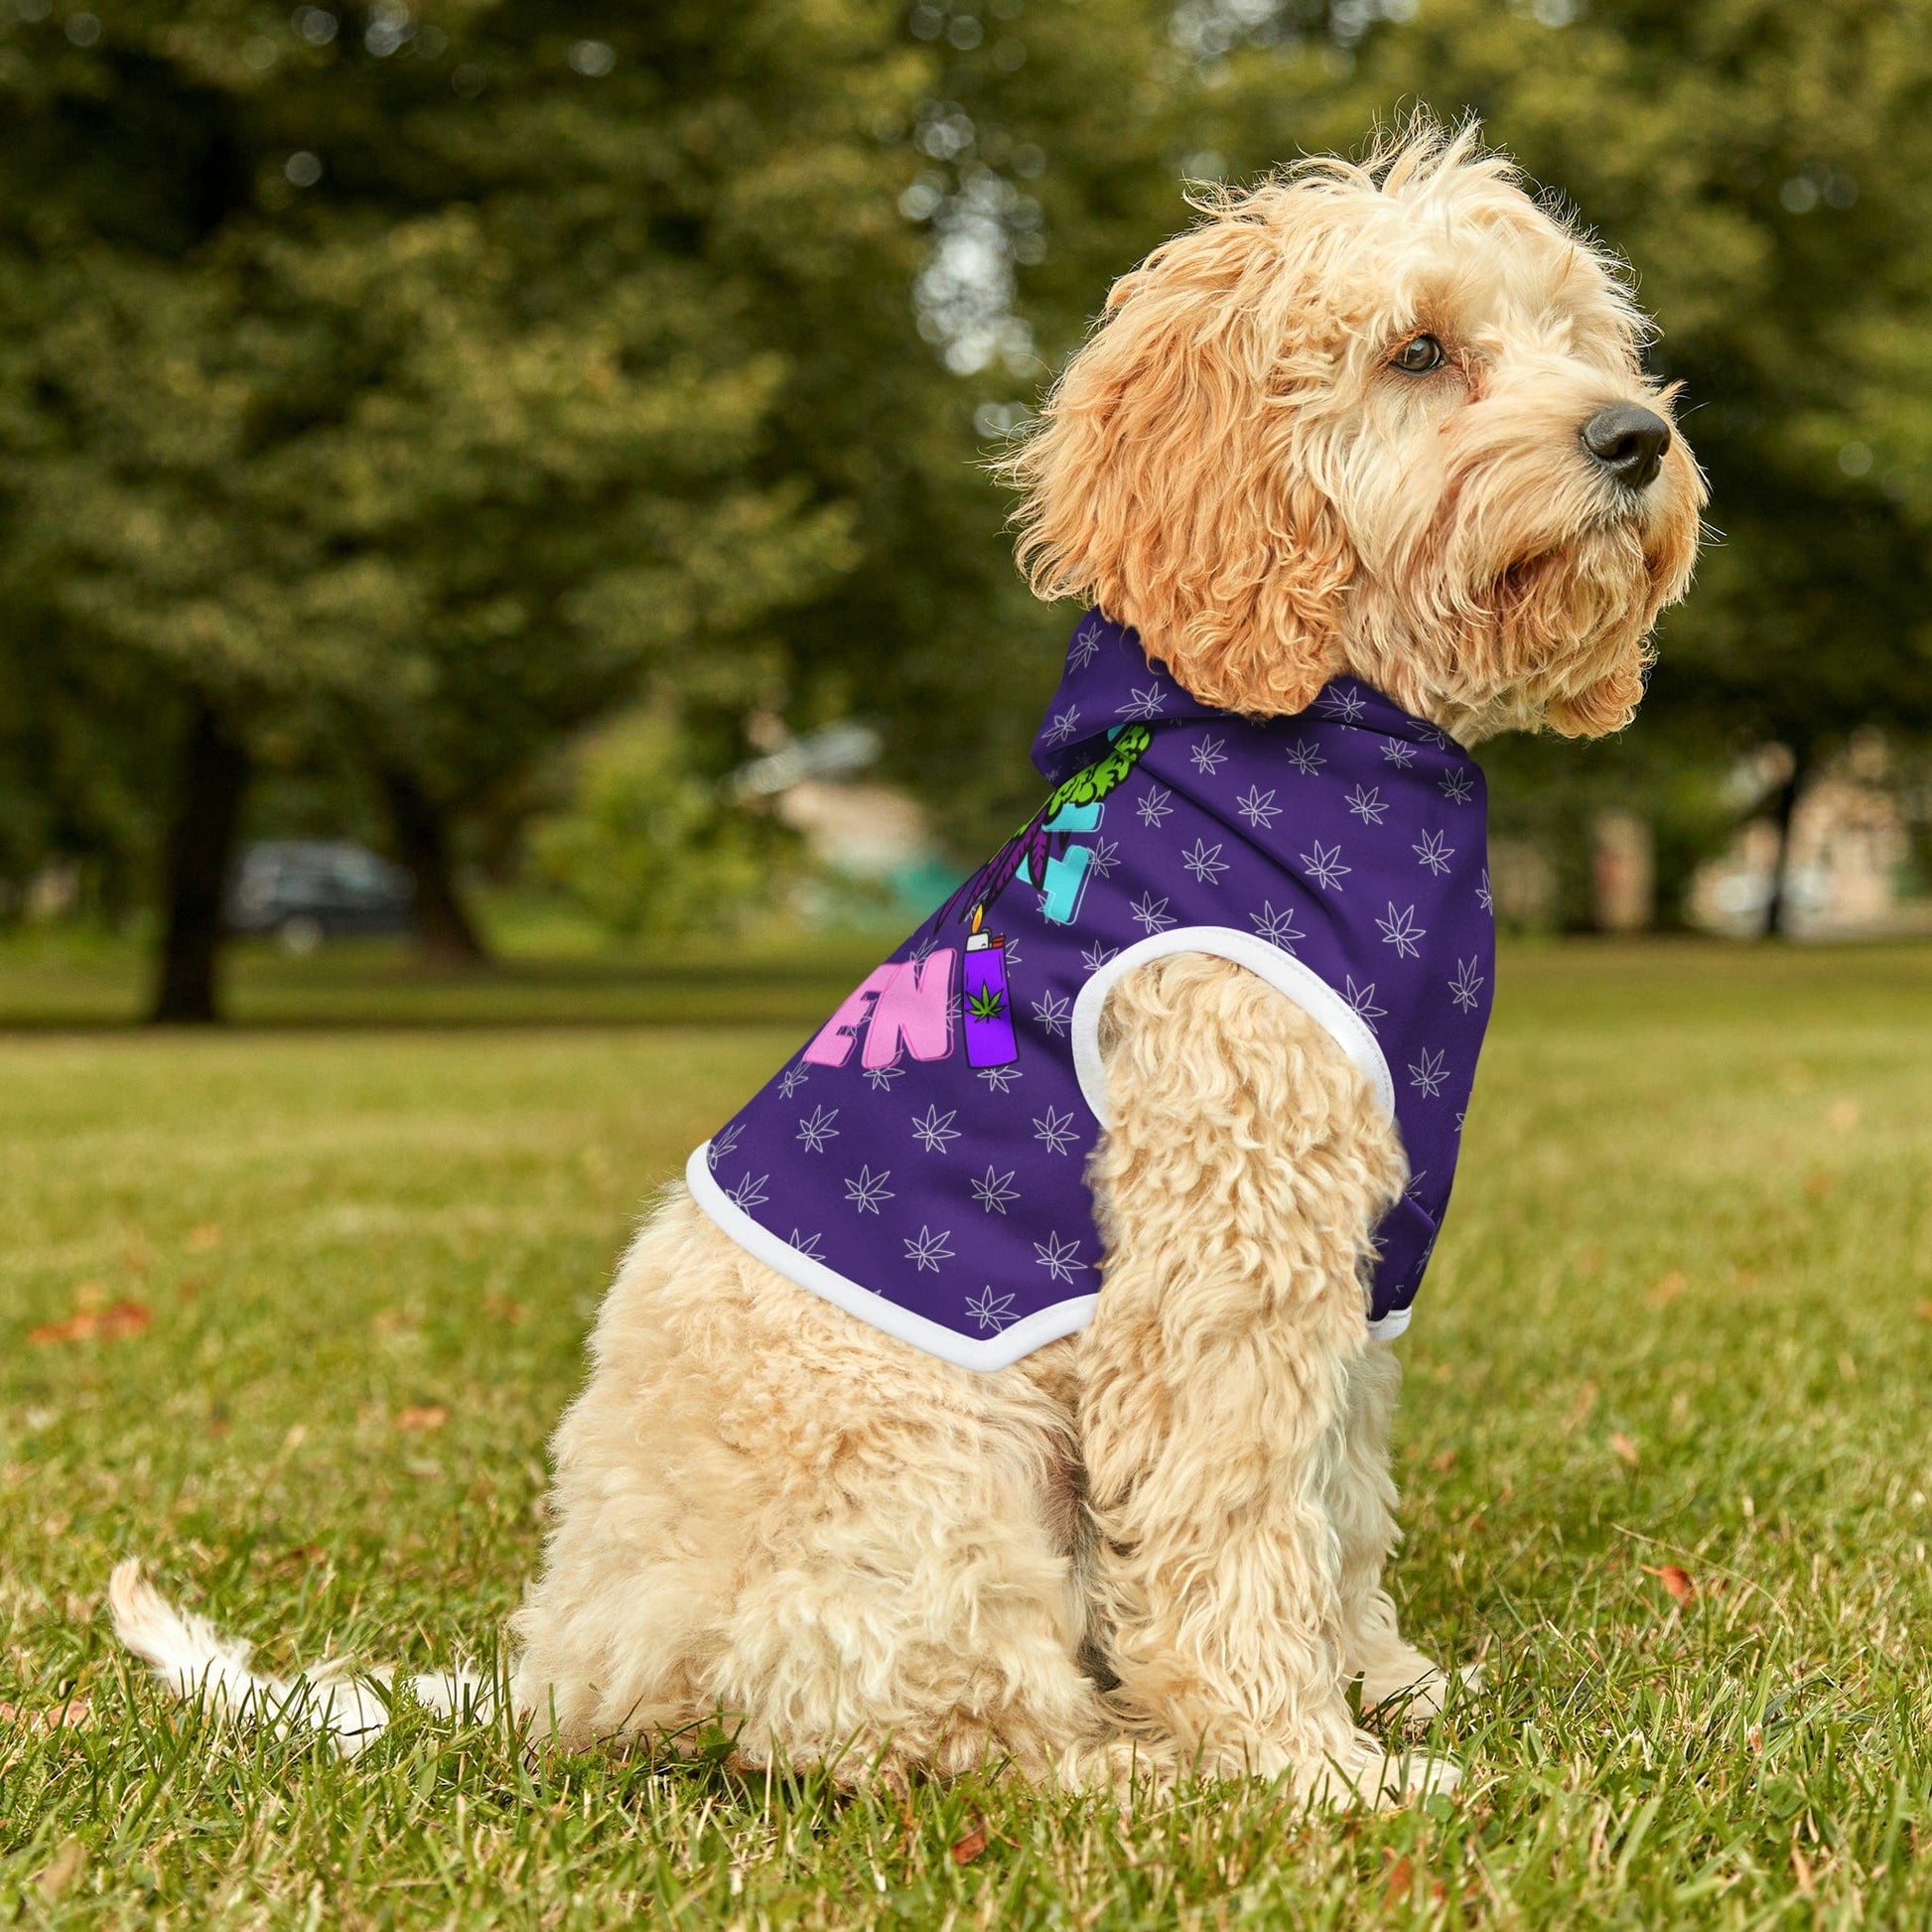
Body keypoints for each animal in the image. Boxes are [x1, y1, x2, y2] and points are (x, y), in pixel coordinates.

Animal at [112, 124, 1700, 1808]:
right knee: (939, 1728)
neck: (1324, 739)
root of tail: (566, 1668)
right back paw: (1140, 1767)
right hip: (941, 1477)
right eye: (1418, 351)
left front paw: (1384, 1685)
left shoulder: (1355, 1257)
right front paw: (1305, 1763)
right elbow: (1236, 1519)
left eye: (1579, 338)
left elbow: (1336, 1498)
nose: (1635, 437)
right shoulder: (1220, 1251)